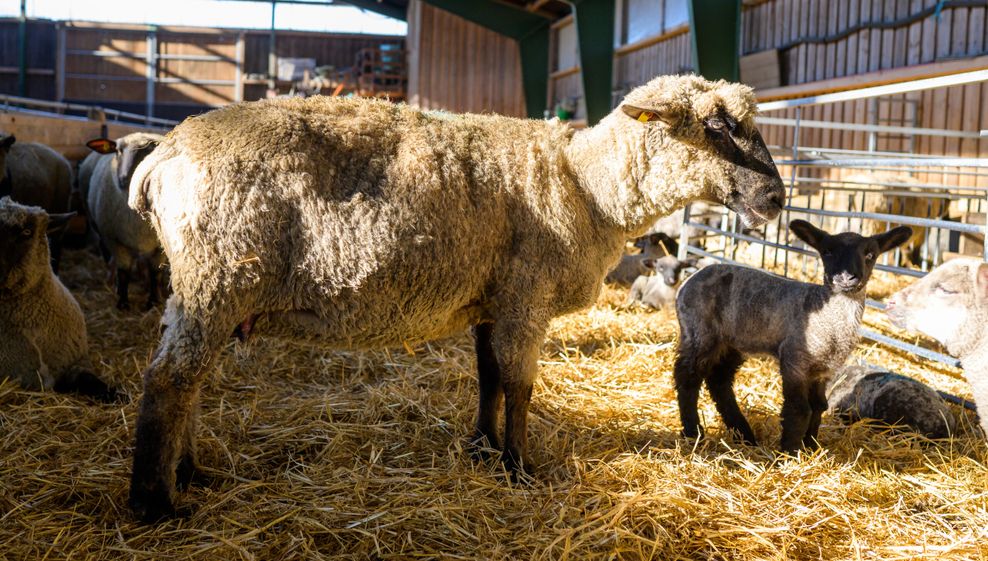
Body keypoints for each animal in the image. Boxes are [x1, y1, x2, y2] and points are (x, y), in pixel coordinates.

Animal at [83, 135, 166, 310]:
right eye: (118, 151)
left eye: (149, 150)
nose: (124, 179)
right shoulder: (115, 240)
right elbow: (124, 272)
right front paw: (122, 303)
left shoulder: (160, 245)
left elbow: (155, 273)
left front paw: (154, 301)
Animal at [125, 74, 788, 520]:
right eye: (719, 126)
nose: (777, 199)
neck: (587, 187)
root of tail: (162, 155)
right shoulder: (524, 296)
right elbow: (519, 385)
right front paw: (520, 466)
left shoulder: (490, 298)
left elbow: (488, 376)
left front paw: (483, 447)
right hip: (218, 277)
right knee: (169, 381)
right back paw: (156, 502)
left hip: (200, 286)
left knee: (186, 379)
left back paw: (191, 473)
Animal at [672, 219, 912, 450]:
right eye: (827, 251)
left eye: (870, 254)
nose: (846, 278)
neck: (828, 315)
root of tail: (688, 281)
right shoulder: (794, 359)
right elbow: (799, 409)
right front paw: (790, 451)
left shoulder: (823, 370)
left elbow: (819, 406)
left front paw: (811, 446)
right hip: (700, 331)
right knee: (687, 377)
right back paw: (693, 432)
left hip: (732, 341)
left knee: (719, 381)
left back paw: (744, 435)